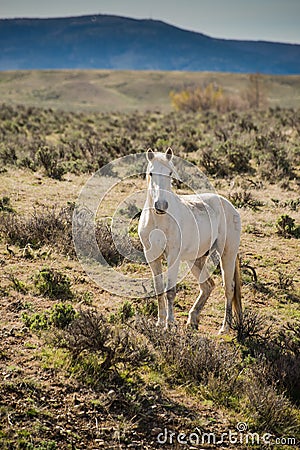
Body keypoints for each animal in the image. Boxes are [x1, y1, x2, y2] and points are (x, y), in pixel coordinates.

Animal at [138, 149, 241, 332]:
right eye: (150, 173)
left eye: (170, 173)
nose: (161, 205)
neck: (159, 220)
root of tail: (230, 206)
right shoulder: (152, 257)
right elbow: (159, 289)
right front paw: (160, 322)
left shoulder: (173, 256)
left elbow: (170, 291)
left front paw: (170, 324)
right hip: (196, 260)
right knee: (207, 286)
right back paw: (193, 319)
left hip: (227, 255)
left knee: (228, 288)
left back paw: (225, 327)